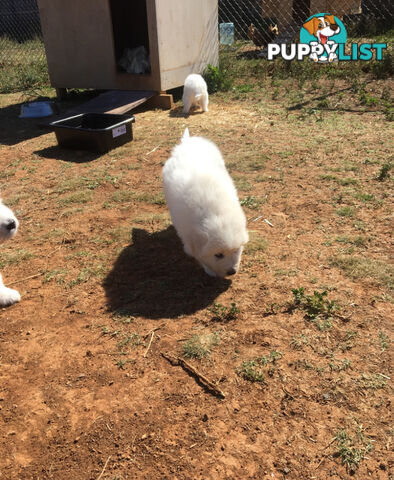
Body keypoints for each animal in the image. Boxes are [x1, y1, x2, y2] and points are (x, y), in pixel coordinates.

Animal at [162, 127, 248, 278]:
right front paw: (209, 270)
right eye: (218, 255)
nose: (232, 272)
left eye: (236, 250)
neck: (217, 214)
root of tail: (187, 143)